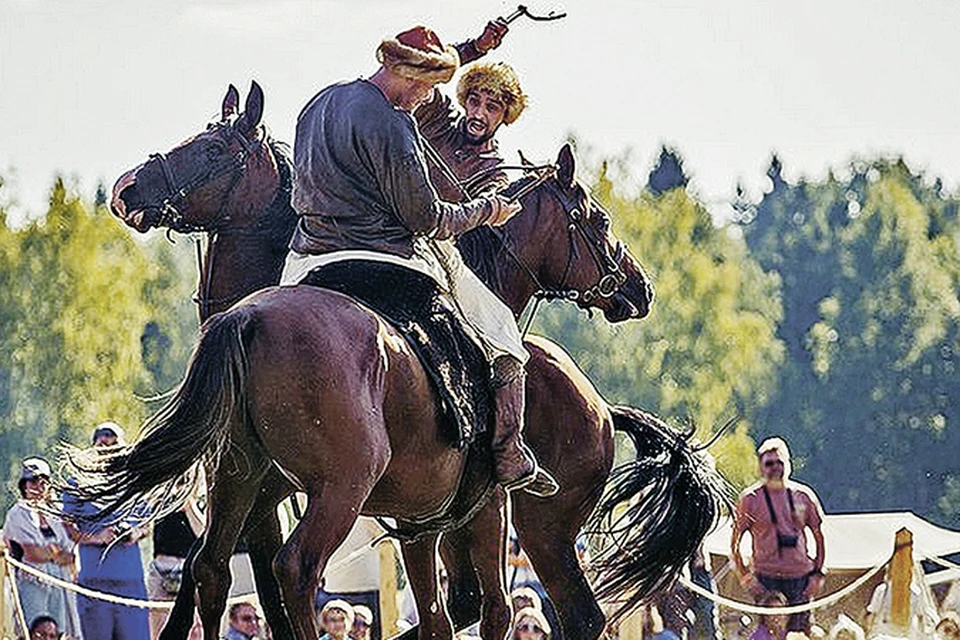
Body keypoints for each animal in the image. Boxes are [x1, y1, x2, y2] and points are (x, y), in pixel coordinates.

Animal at [103, 84, 720, 640]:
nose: (638, 288)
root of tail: (599, 405)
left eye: (212, 149)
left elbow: (448, 614)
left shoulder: (423, 514)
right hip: (455, 512)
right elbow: (477, 613)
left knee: (221, 569)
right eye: (599, 220)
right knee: (288, 571)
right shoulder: (466, 508)